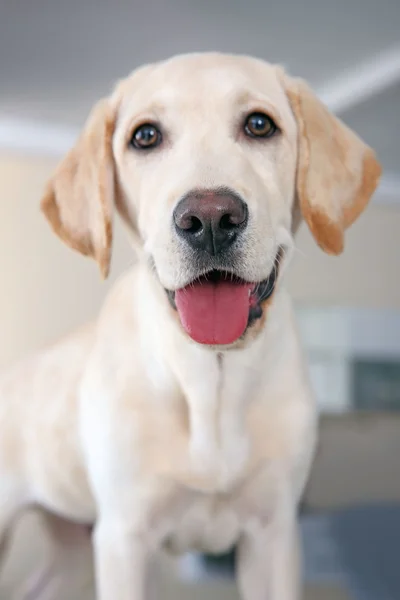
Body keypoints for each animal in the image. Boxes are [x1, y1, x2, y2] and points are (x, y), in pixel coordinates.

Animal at [0, 52, 382, 600]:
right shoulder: (123, 539)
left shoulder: (274, 533)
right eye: (145, 136)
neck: (212, 379)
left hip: (71, 545)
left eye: (260, 124)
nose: (210, 219)